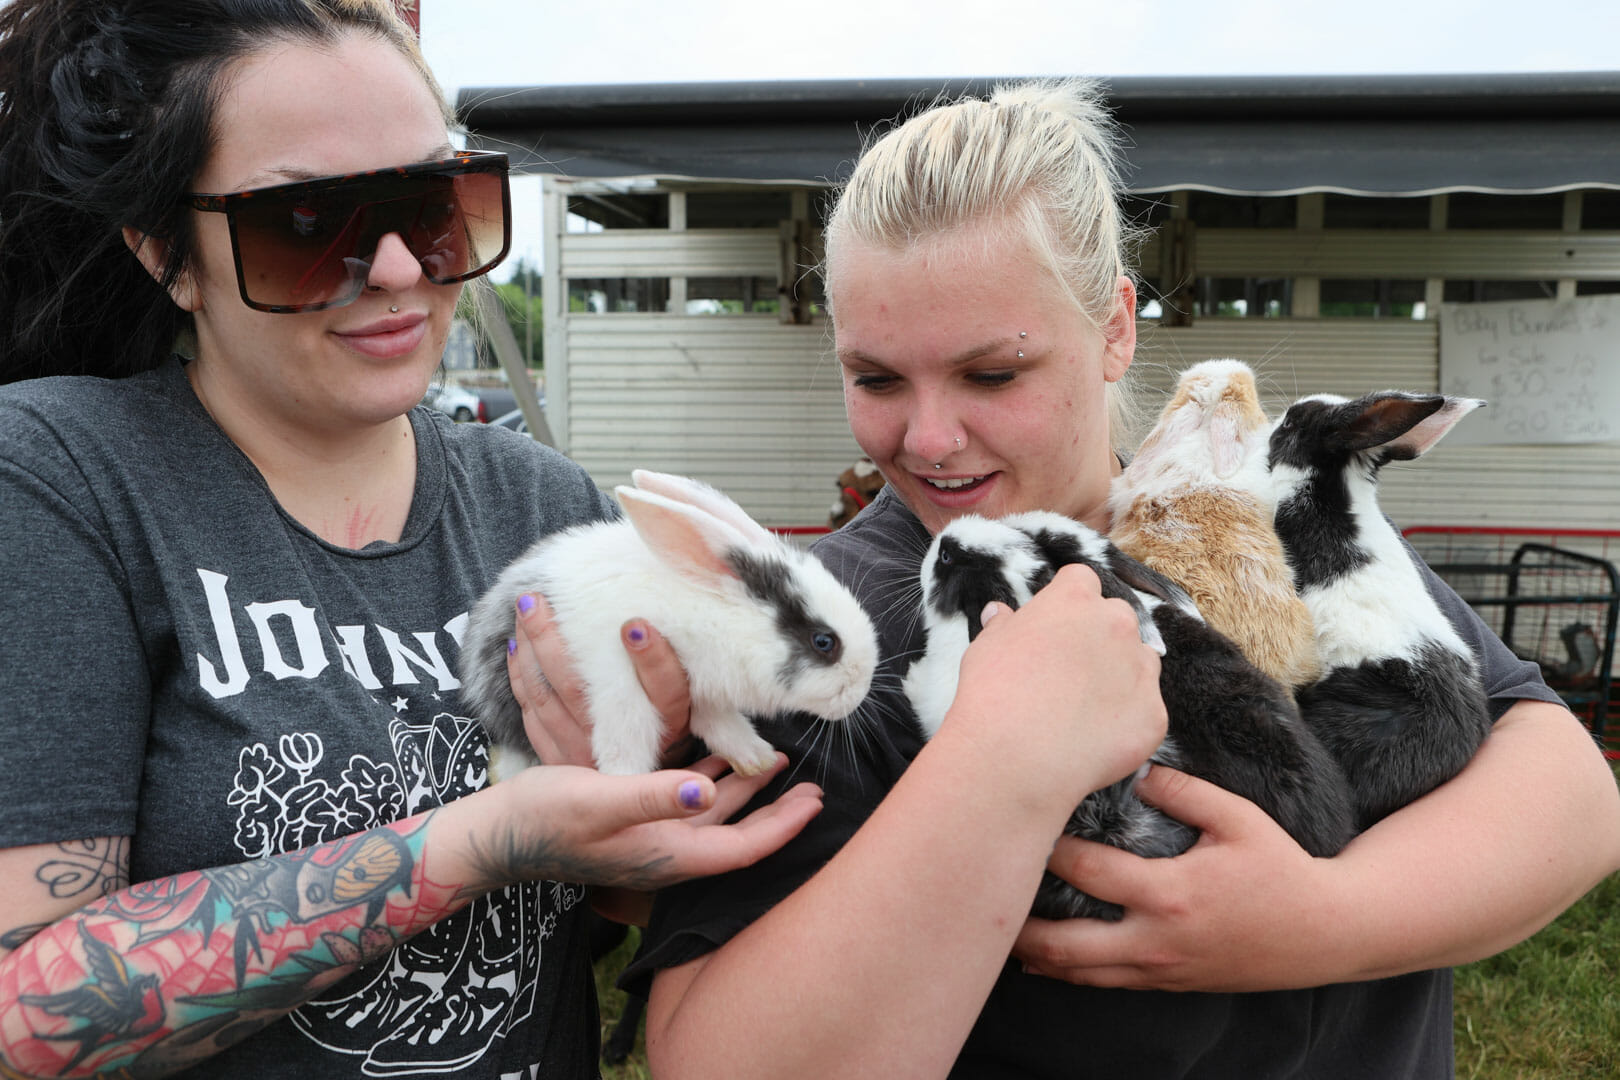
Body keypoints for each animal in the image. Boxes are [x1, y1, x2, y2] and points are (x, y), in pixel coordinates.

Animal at [460, 469, 880, 779]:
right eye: (824, 642)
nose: (860, 690)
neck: (713, 612)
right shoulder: (618, 677)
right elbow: (626, 735)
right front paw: (622, 784)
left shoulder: (703, 696)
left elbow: (723, 727)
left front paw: (757, 759)